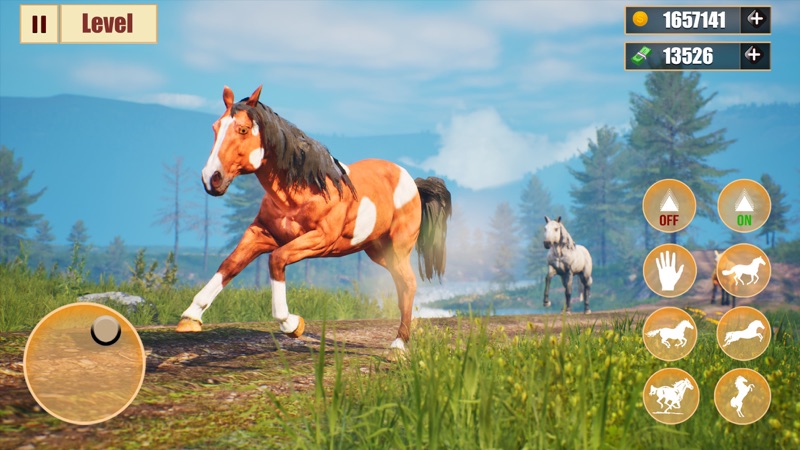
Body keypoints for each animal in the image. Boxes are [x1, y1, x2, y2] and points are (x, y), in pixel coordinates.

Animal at [176, 85, 452, 351]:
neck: (301, 192)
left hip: (398, 247)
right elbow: (230, 264)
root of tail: (413, 185)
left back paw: (399, 344)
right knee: (401, 283)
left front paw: (292, 324)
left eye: (242, 129)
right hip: (378, 251)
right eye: (215, 127)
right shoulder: (261, 234)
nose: (211, 178)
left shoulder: (320, 240)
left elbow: (276, 260)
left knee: (409, 284)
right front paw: (190, 317)